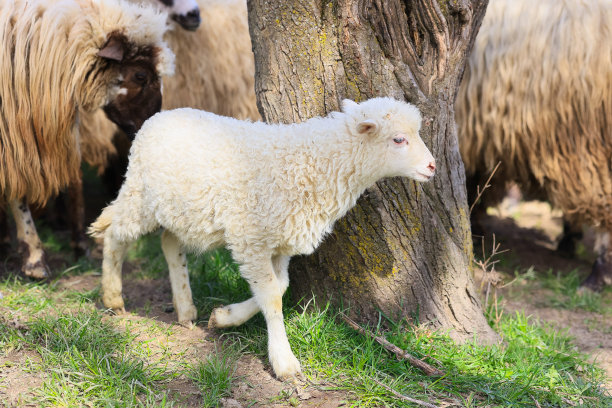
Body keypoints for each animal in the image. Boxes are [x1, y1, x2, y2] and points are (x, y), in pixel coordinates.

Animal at [89, 97, 436, 378]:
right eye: (399, 139)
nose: (432, 166)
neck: (315, 163)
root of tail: (158, 117)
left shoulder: (280, 242)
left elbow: (279, 286)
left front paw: (225, 317)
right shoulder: (251, 238)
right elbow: (271, 295)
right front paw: (283, 361)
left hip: (181, 211)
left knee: (169, 243)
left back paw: (185, 308)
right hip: (142, 197)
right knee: (115, 235)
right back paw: (113, 296)